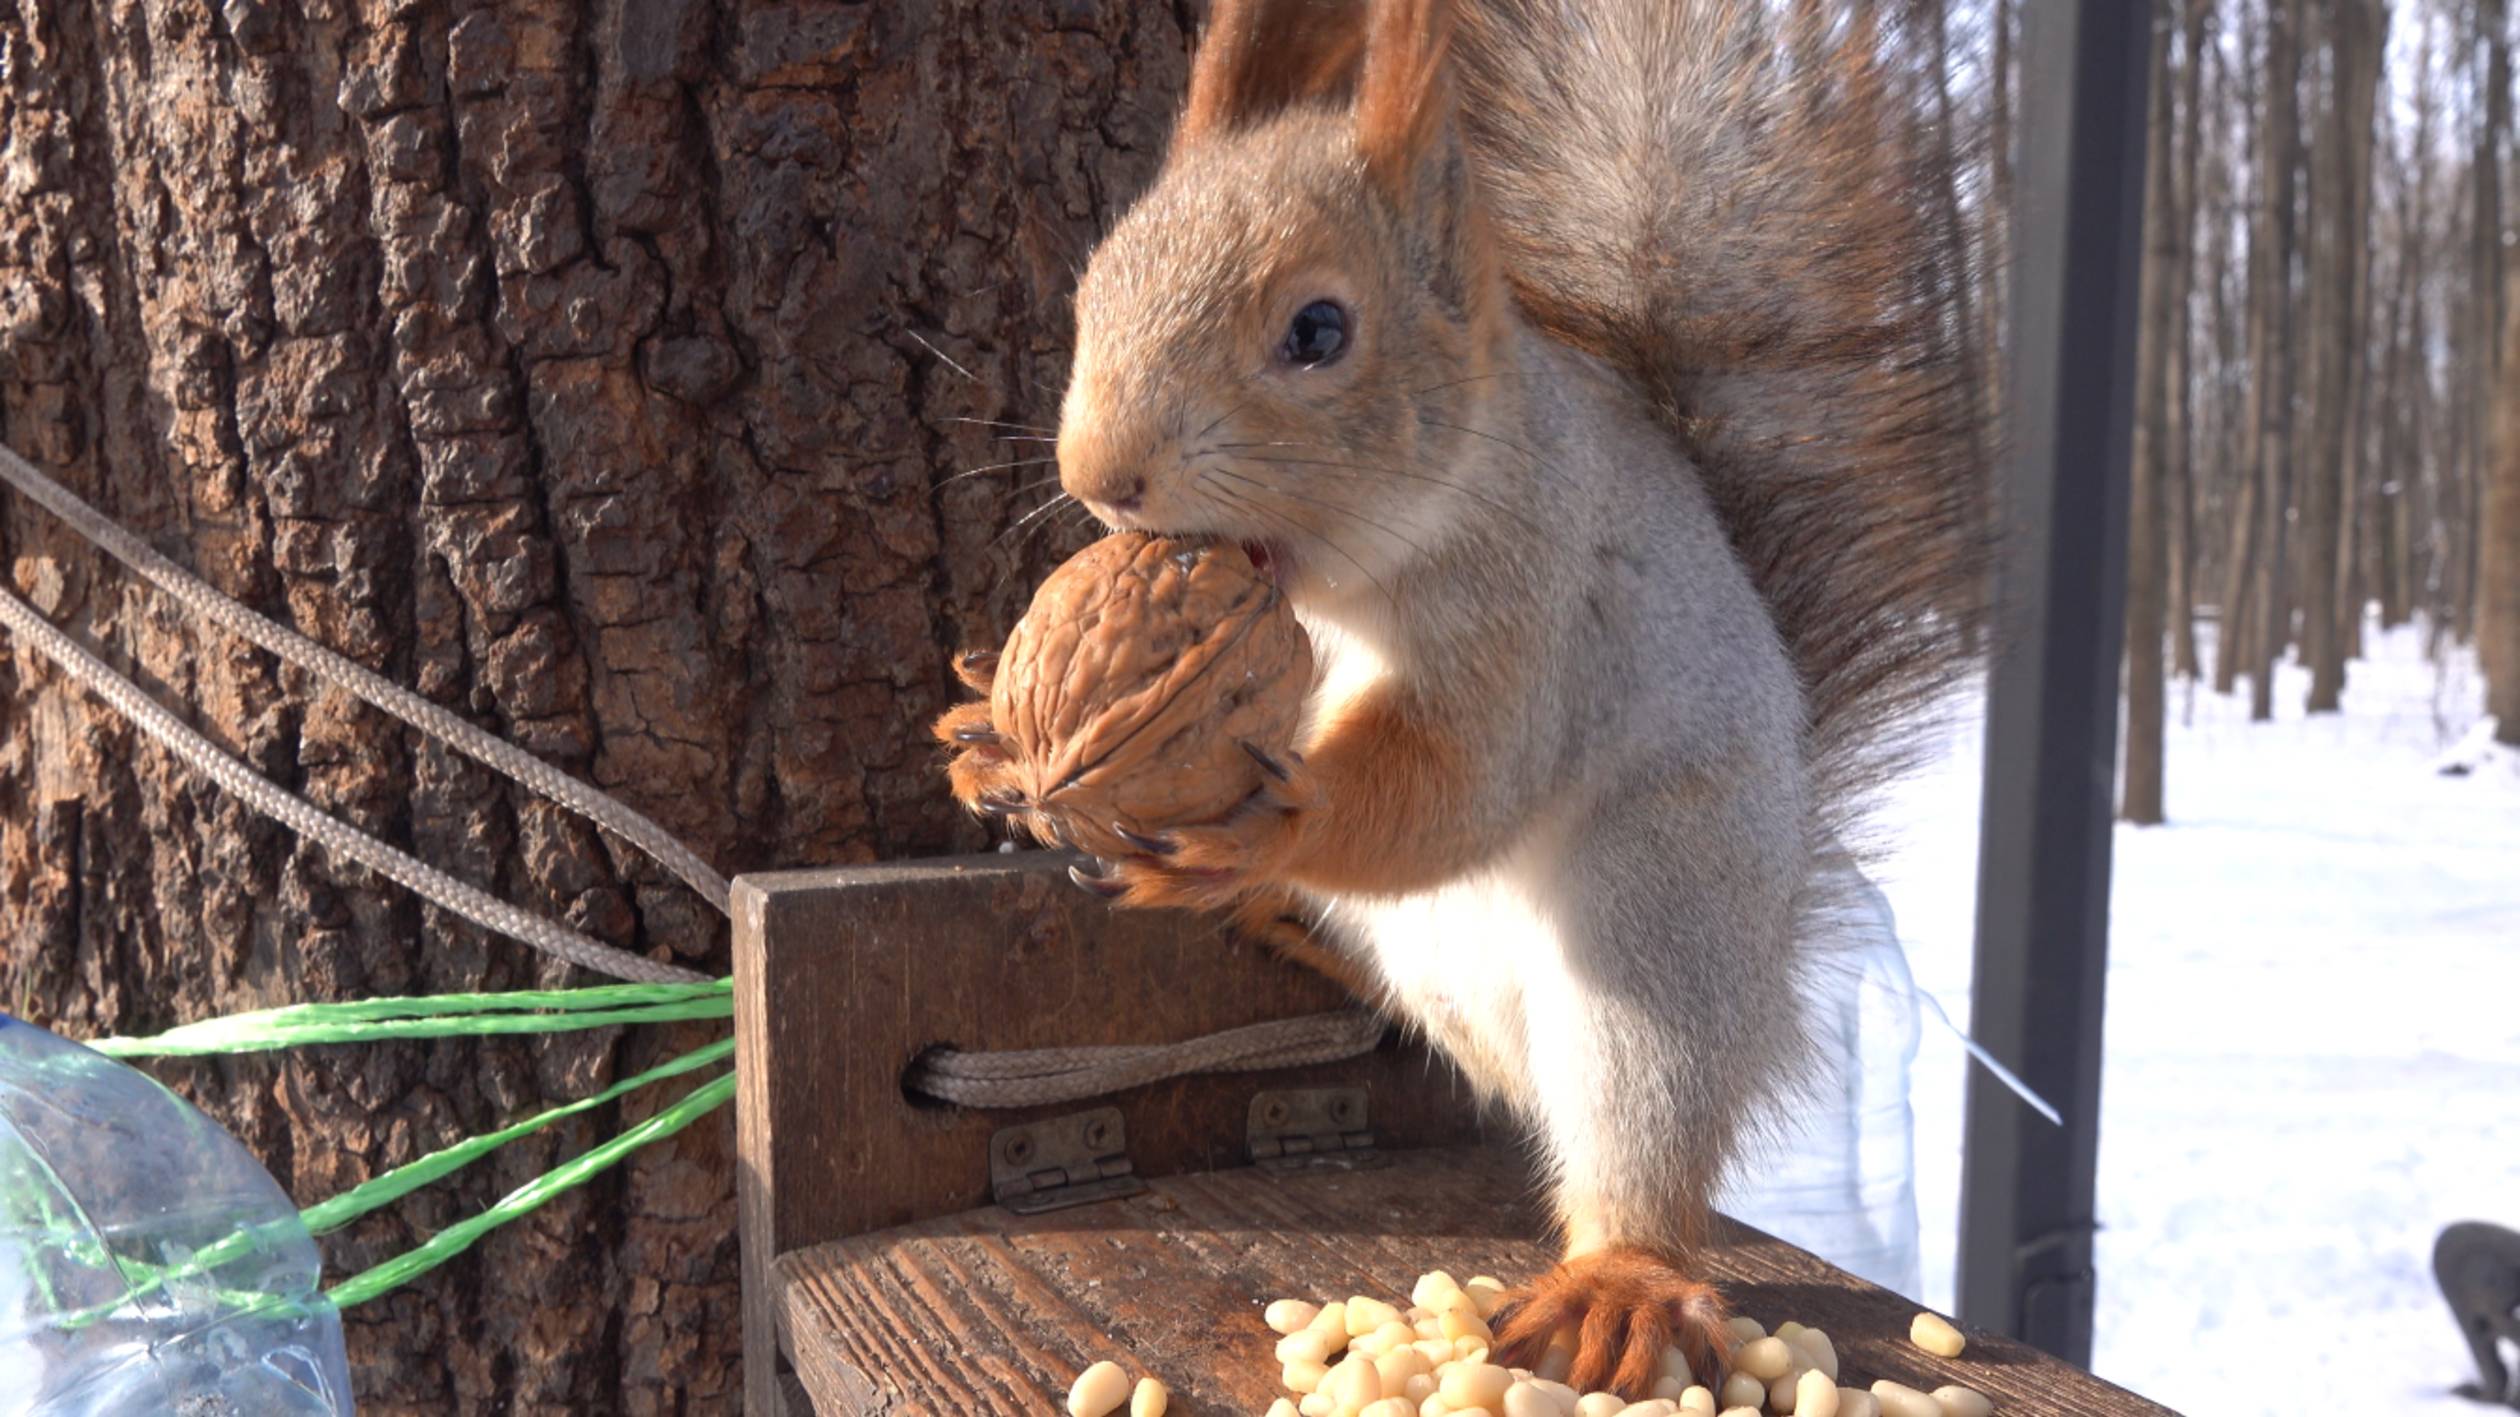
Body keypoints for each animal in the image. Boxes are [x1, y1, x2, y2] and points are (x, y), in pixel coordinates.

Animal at [937, 0, 1975, 1391]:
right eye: (1093, 287)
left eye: (1319, 332)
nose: (1101, 475)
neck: (1334, 586)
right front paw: (994, 735)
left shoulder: (1536, 602)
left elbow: (1458, 784)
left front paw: (1278, 823)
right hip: (1433, 965)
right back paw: (1277, 920)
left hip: (1661, 923)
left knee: (1639, 1129)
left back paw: (1617, 1281)